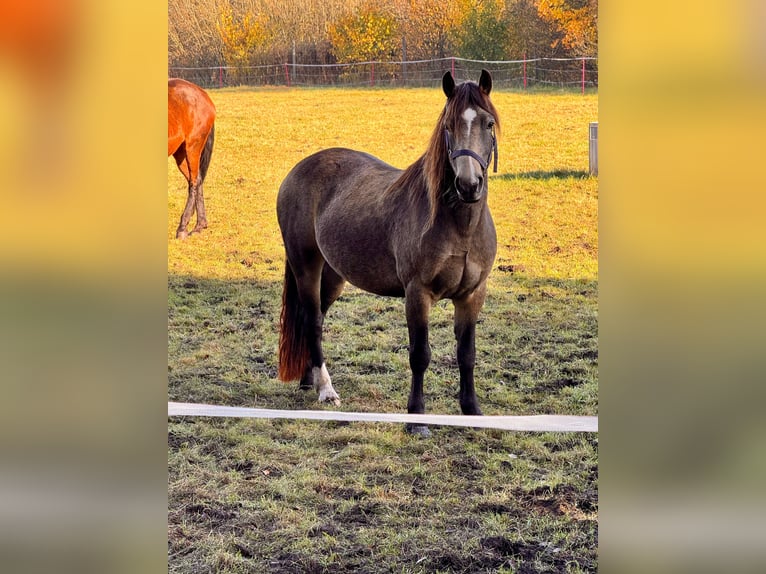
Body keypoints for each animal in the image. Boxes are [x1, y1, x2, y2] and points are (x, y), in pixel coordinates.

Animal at [168, 78, 216, 238]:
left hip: (193, 148)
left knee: (193, 183)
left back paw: (182, 228)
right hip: (181, 154)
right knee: (197, 180)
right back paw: (200, 225)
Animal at [280, 71, 500, 436]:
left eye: (489, 123)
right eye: (449, 125)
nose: (469, 185)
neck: (459, 227)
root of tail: (298, 170)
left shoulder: (472, 295)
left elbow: (466, 353)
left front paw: (472, 412)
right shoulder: (417, 294)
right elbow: (420, 355)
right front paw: (416, 419)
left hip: (334, 275)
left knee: (314, 319)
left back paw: (307, 380)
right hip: (306, 267)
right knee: (313, 321)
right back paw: (326, 389)